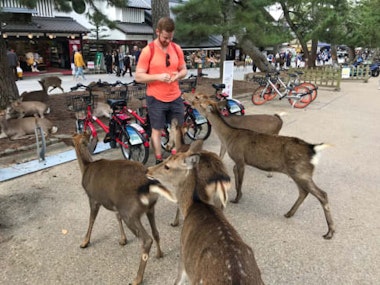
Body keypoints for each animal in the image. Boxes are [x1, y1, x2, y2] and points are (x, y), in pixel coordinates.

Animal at [71, 132, 175, 282]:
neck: (86, 167)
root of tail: (148, 185)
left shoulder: (93, 198)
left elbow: (91, 220)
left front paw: (84, 242)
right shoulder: (116, 204)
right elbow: (117, 217)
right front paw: (123, 240)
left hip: (130, 211)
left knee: (146, 239)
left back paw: (137, 278)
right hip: (149, 208)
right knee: (155, 232)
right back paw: (159, 254)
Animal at [147, 140, 266, 284]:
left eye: (167, 166)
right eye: (167, 159)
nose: (148, 170)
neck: (192, 206)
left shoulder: (182, 255)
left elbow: (177, 280)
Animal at [191, 96, 334, 239]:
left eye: (201, 103)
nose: (192, 103)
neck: (228, 136)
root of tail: (313, 149)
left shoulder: (240, 158)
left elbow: (240, 180)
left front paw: (237, 199)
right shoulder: (239, 161)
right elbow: (236, 176)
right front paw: (239, 195)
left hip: (301, 172)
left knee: (322, 194)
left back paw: (330, 232)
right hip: (298, 173)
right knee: (303, 192)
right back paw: (289, 213)